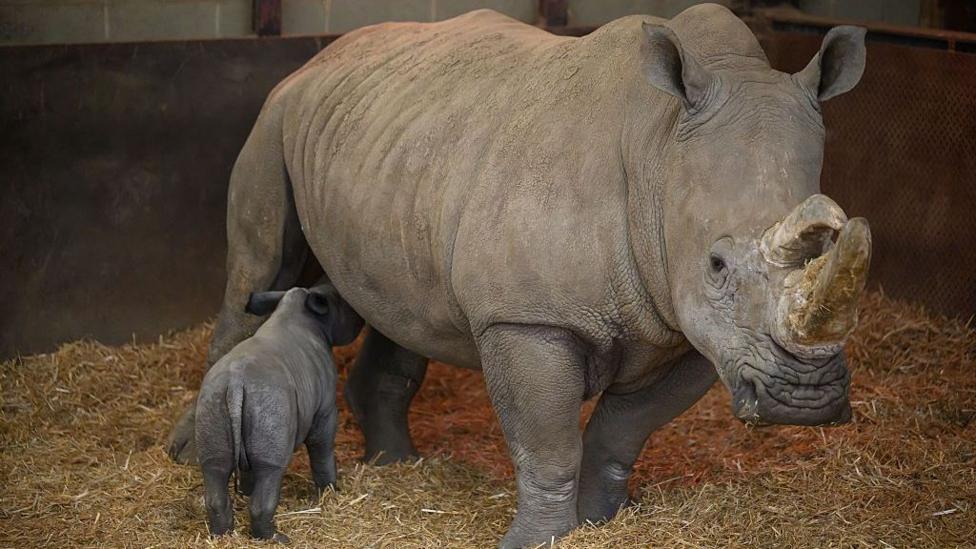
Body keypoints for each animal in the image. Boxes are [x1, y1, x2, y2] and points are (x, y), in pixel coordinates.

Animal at [167, 4, 871, 546]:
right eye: (719, 265)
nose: (805, 400)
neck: (658, 149)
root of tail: (320, 56)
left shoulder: (697, 333)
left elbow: (620, 431)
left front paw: (597, 521)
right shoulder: (528, 318)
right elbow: (547, 442)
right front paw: (539, 539)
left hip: (394, 146)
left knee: (398, 302)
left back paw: (396, 465)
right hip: (274, 122)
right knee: (258, 266)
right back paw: (187, 454)